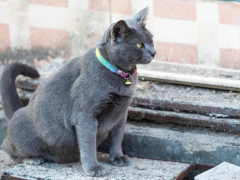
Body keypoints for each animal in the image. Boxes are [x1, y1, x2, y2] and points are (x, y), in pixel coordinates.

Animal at [0, 7, 156, 177]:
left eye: (151, 40)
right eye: (140, 45)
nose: (154, 52)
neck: (122, 75)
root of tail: (17, 112)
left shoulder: (121, 114)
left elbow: (117, 138)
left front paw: (118, 157)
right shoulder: (85, 115)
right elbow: (88, 144)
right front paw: (93, 168)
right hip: (25, 132)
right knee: (8, 147)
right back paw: (33, 158)